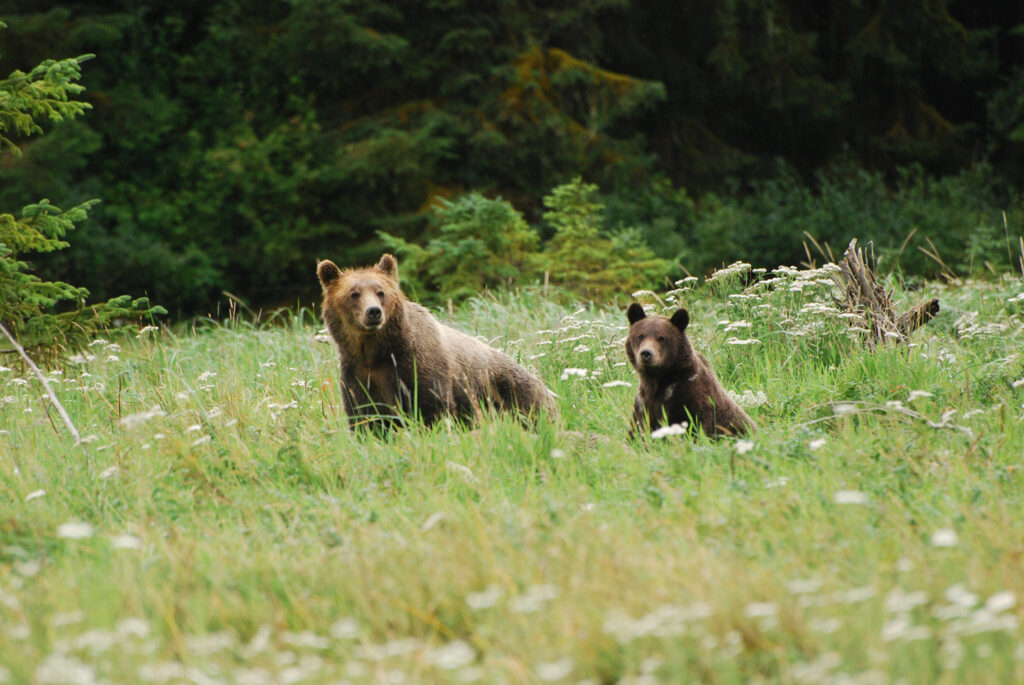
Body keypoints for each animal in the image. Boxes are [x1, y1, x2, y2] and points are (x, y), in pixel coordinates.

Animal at [317, 253, 557, 430]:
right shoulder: (358, 374)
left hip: (510, 391)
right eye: (354, 294)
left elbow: (433, 407)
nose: (374, 312)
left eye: (380, 292)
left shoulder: (417, 363)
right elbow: (367, 417)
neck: (376, 351)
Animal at [625, 302, 755, 438]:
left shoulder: (689, 397)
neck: (659, 379)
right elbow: (636, 430)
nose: (646, 353)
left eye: (661, 338)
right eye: (640, 336)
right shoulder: (643, 403)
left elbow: (694, 425)